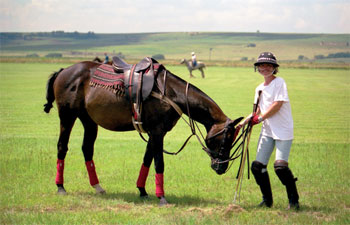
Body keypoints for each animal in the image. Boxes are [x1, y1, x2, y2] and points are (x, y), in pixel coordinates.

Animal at [43, 58, 242, 206]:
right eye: (225, 139)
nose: (222, 167)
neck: (170, 92)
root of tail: (63, 71)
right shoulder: (157, 132)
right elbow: (159, 163)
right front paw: (162, 197)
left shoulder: (154, 133)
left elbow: (147, 160)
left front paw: (142, 190)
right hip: (67, 116)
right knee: (62, 146)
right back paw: (60, 187)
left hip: (89, 120)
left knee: (87, 149)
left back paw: (97, 186)